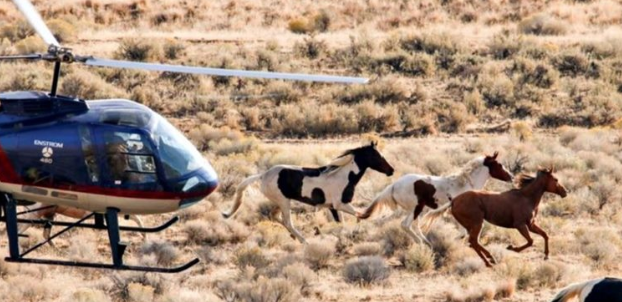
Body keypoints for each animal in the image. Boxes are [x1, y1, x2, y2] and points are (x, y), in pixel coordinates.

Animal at [223, 143, 394, 244]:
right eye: (376, 156)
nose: (391, 170)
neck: (344, 176)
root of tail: (263, 175)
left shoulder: (333, 207)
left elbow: (343, 222)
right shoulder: (340, 204)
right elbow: (362, 214)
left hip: (279, 202)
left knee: (275, 216)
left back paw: (295, 237)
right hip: (284, 201)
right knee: (287, 222)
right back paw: (304, 240)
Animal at [358, 153, 516, 245]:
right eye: (499, 165)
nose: (511, 176)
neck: (465, 183)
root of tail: (394, 185)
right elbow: (464, 231)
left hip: (414, 210)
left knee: (413, 225)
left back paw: (425, 241)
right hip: (416, 208)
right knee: (405, 225)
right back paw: (422, 243)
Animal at [426, 168, 568, 266]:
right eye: (556, 179)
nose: (565, 192)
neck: (526, 197)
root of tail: (454, 201)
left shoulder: (531, 224)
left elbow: (545, 235)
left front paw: (546, 256)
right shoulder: (520, 225)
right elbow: (530, 241)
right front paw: (512, 248)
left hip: (471, 225)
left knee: (473, 242)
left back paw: (490, 259)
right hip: (477, 223)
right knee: (473, 241)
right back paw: (490, 261)